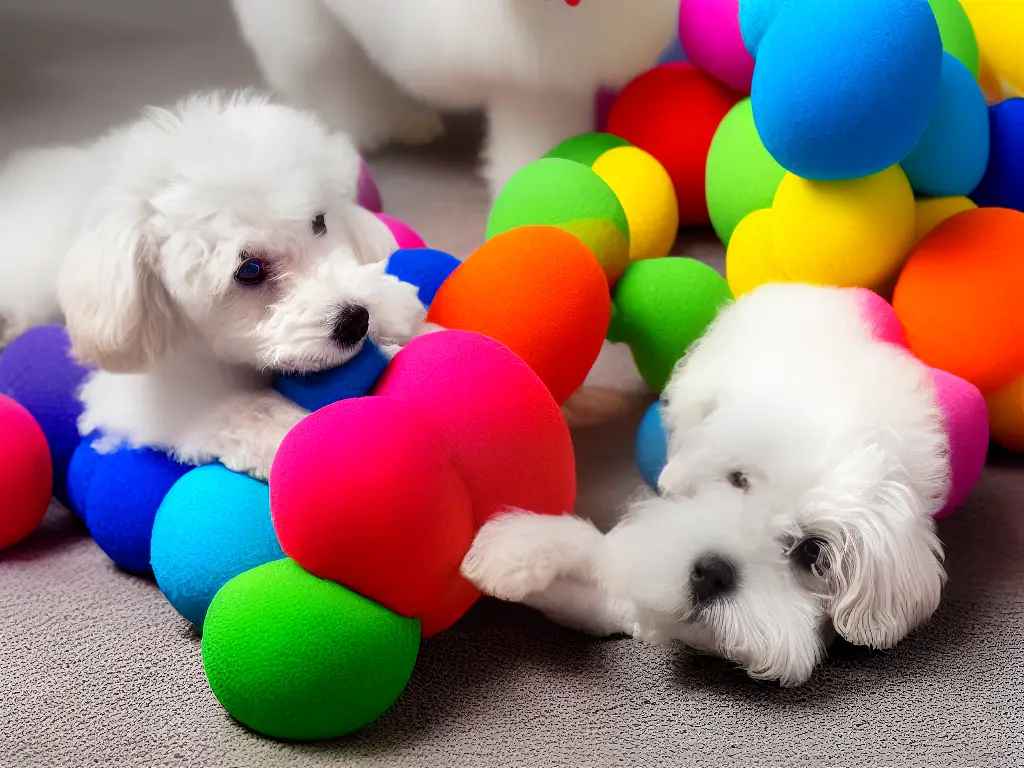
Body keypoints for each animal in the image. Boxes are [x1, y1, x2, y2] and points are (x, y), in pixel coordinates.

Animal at [0, 90, 425, 481]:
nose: (355, 321)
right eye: (249, 270)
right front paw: (302, 434)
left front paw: (393, 307)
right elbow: (238, 409)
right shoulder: (155, 393)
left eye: (319, 222)